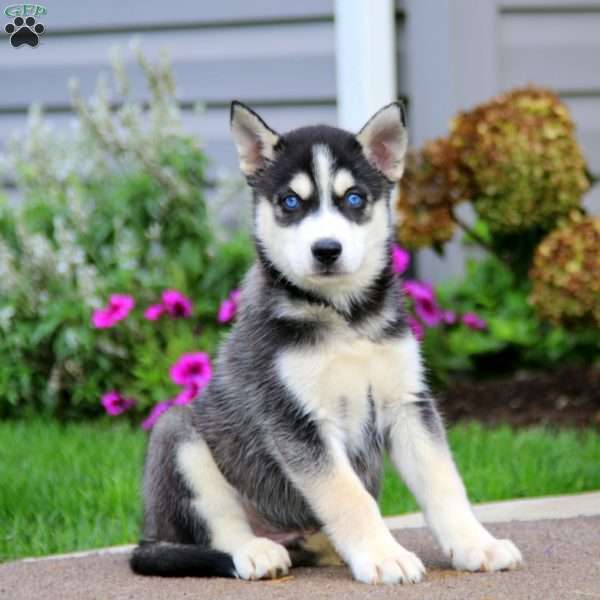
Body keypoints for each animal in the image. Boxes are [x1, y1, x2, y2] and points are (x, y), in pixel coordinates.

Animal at [130, 101, 520, 584]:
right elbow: (348, 496)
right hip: (177, 433)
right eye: (290, 202)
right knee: (219, 526)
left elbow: (443, 482)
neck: (345, 319)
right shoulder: (296, 418)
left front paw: (476, 544)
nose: (327, 249)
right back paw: (255, 552)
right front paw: (383, 555)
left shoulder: (408, 403)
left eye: (353, 199)